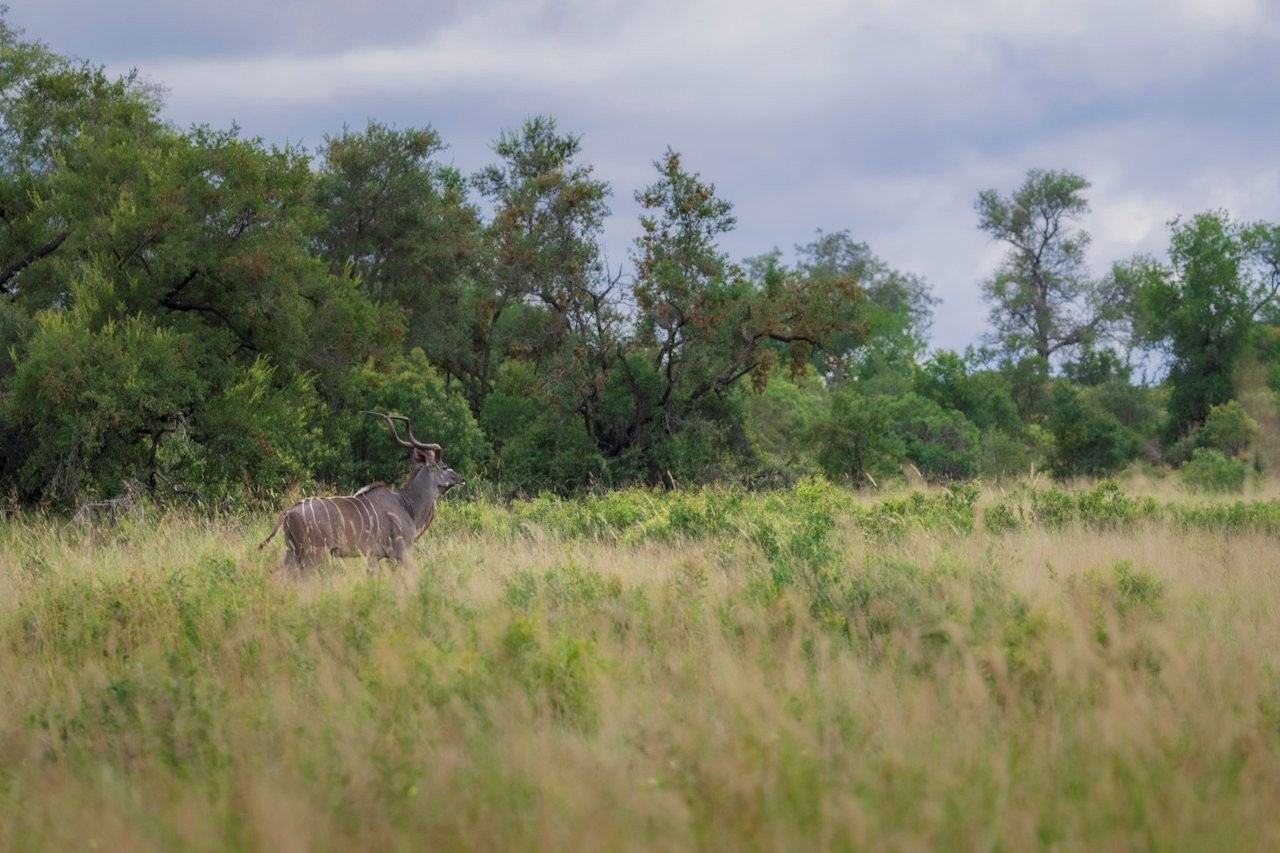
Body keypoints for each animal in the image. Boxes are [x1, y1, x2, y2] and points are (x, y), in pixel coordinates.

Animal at [259, 411, 464, 574]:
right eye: (444, 467)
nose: (461, 479)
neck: (407, 504)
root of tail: (288, 512)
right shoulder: (399, 552)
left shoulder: (373, 557)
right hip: (314, 554)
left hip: (293, 552)